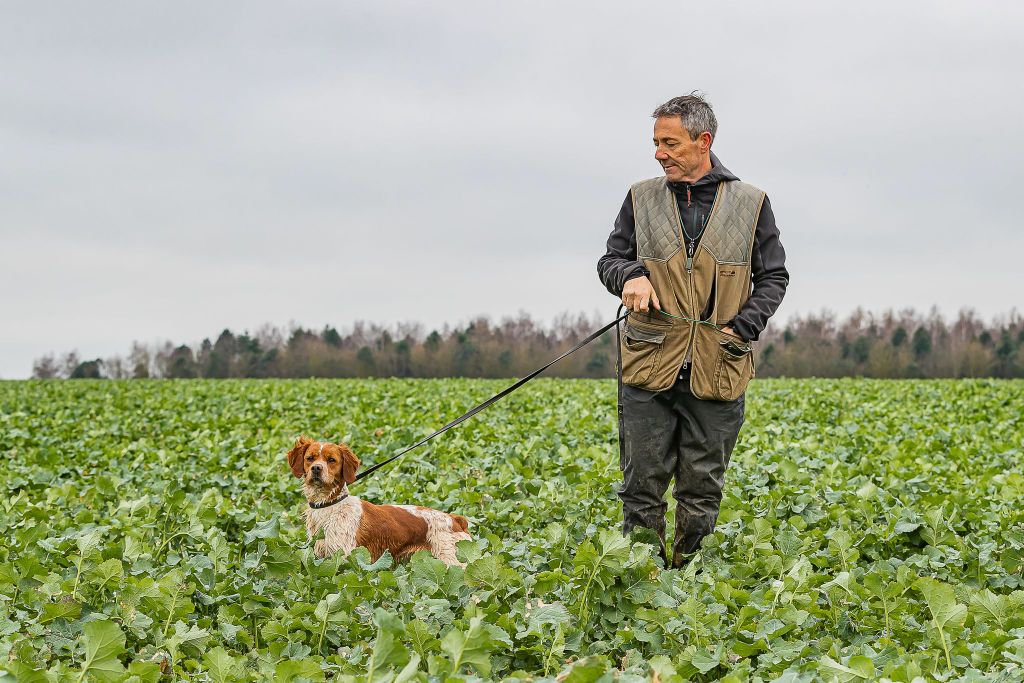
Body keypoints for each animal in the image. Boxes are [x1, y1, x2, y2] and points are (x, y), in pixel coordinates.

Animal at [282, 436, 468, 569]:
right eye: (310, 458)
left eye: (331, 460)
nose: (316, 468)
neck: (329, 505)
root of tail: (455, 519)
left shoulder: (345, 558)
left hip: (454, 561)